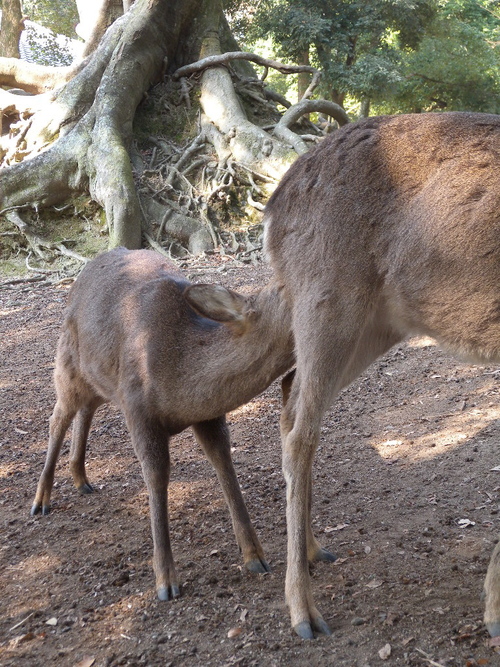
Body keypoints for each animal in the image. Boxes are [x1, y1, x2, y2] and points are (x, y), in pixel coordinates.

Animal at [31, 248, 294, 604]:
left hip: (101, 377)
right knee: (57, 416)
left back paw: (81, 478)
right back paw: (41, 499)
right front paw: (166, 580)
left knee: (86, 408)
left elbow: (224, 463)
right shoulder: (138, 407)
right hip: (68, 362)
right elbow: (156, 477)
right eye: (288, 289)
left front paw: (255, 555)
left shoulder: (207, 414)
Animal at [264, 112, 500, 640]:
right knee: (301, 430)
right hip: (327, 296)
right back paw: (302, 610)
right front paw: (495, 610)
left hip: (377, 322)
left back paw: (314, 549)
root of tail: (271, 207)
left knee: (291, 401)